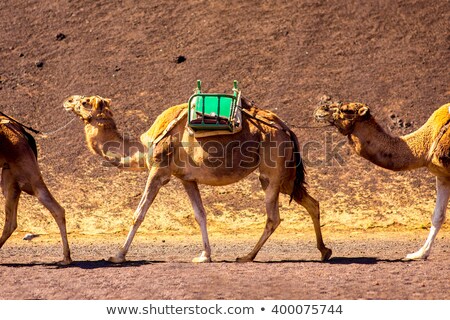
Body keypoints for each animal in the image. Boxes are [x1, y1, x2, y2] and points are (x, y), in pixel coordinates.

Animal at [0, 114, 71, 262]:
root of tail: (23, 133)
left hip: (27, 171)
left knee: (54, 207)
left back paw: (66, 258)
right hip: (11, 176)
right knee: (12, 221)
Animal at [62, 94, 330, 262]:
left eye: (85, 101)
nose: (67, 101)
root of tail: (287, 130)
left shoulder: (159, 170)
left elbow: (138, 214)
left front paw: (117, 255)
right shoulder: (186, 178)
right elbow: (200, 214)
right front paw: (204, 255)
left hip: (272, 172)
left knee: (274, 217)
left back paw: (246, 256)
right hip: (285, 176)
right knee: (311, 203)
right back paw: (324, 251)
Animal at [314, 102, 450, 260]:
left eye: (347, 110)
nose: (321, 109)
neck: (426, 144)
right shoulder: (443, 176)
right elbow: (438, 216)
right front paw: (419, 254)